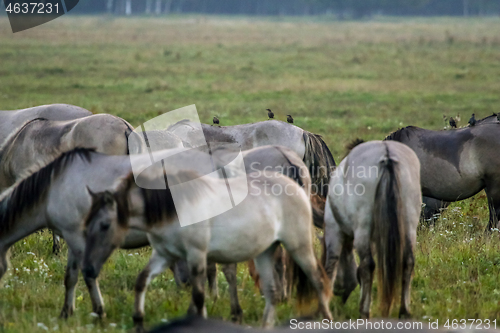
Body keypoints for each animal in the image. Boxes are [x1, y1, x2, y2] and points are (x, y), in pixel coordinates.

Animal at [81, 169, 332, 326]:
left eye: (104, 225)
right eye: (85, 227)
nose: (88, 269)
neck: (174, 210)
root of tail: (297, 188)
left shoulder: (197, 256)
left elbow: (199, 297)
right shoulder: (164, 256)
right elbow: (142, 281)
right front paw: (138, 320)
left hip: (298, 247)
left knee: (319, 281)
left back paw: (327, 320)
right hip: (265, 252)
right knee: (272, 292)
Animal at [322, 139, 420, 316]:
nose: (341, 296)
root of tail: (386, 155)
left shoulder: (334, 231)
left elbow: (331, 266)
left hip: (362, 229)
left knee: (367, 265)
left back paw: (364, 311)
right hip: (409, 225)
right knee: (408, 261)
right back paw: (404, 311)